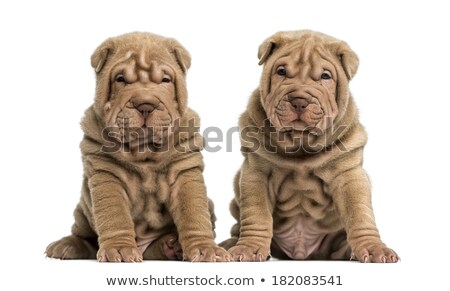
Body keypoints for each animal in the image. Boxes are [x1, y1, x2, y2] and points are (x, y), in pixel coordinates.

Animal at [46, 31, 229, 262]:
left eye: (165, 80)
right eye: (120, 79)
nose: (145, 104)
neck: (144, 150)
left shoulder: (184, 171)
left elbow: (194, 214)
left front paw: (206, 249)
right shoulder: (107, 174)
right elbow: (114, 215)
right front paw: (119, 249)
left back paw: (171, 245)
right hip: (82, 209)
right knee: (83, 234)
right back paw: (66, 245)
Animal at [220, 30, 400, 264]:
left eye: (325, 76)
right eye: (281, 71)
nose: (299, 101)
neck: (300, 143)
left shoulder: (349, 175)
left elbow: (360, 214)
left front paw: (373, 248)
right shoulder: (256, 174)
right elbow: (257, 214)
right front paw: (249, 247)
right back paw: (229, 244)